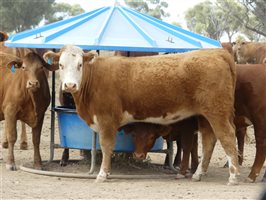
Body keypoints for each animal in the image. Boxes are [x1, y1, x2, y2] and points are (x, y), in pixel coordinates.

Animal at [43, 45, 239, 184]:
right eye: (60, 65)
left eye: (79, 65)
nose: (69, 86)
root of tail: (217, 53)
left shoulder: (107, 120)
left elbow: (106, 146)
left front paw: (102, 174)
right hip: (205, 116)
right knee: (209, 141)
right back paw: (198, 174)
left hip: (217, 112)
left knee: (227, 137)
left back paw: (233, 176)